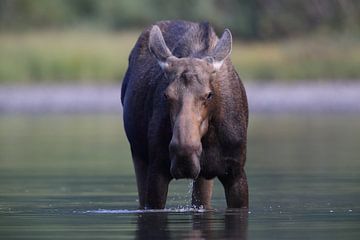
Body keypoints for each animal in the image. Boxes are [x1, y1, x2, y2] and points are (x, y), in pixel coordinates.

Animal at [122, 19, 249, 209]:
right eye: (166, 95)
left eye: (209, 95)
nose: (184, 155)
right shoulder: (157, 169)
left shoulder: (236, 172)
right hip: (138, 154)